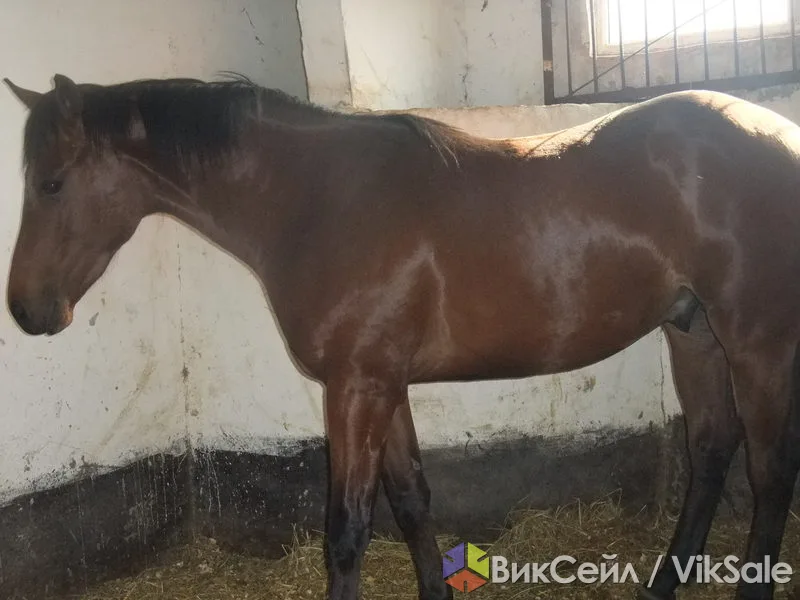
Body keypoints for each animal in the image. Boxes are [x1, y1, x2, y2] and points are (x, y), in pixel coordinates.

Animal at [5, 73, 800, 600]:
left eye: (50, 183)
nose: (27, 310)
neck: (316, 200)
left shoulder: (356, 388)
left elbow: (347, 530)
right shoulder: (382, 382)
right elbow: (411, 497)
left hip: (756, 344)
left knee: (768, 473)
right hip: (694, 335)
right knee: (710, 451)